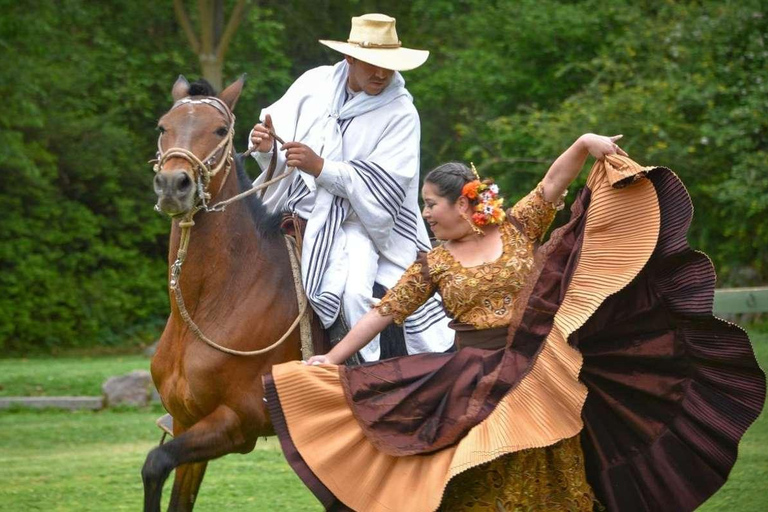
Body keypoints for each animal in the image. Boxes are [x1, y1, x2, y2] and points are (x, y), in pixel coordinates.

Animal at [142, 77, 304, 512]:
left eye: (218, 131)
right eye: (163, 126)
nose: (173, 184)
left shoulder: (237, 422)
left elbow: (155, 461)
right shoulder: (187, 420)